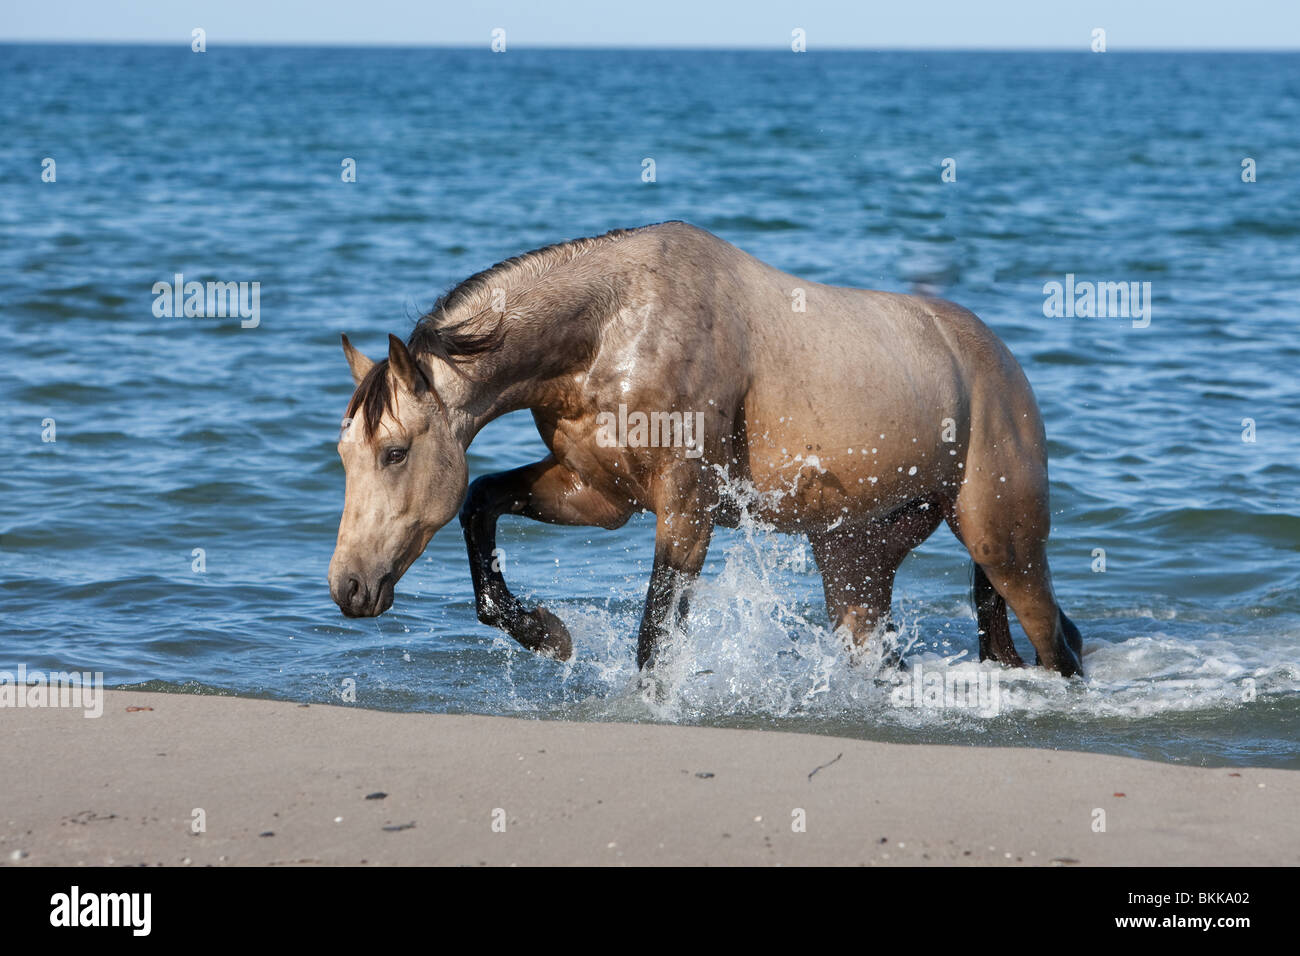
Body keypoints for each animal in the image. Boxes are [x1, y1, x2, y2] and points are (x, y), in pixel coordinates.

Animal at [327, 221, 1086, 676]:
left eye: (394, 452)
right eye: (343, 457)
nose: (348, 587)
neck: (614, 330)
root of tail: (1000, 363)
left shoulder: (686, 511)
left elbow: (654, 637)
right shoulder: (596, 495)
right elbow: (480, 504)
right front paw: (546, 633)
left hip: (1004, 546)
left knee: (1059, 644)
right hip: (856, 563)